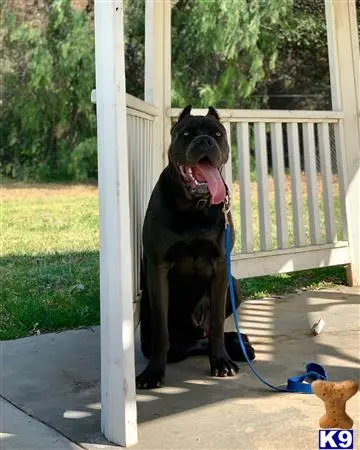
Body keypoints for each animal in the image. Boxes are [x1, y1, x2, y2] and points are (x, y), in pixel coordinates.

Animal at [136, 106, 256, 390]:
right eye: (187, 133)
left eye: (218, 134)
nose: (205, 141)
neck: (194, 207)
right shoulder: (158, 267)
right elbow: (162, 332)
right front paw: (153, 373)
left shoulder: (221, 267)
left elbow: (216, 327)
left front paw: (221, 362)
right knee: (186, 344)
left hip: (234, 285)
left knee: (208, 331)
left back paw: (238, 344)